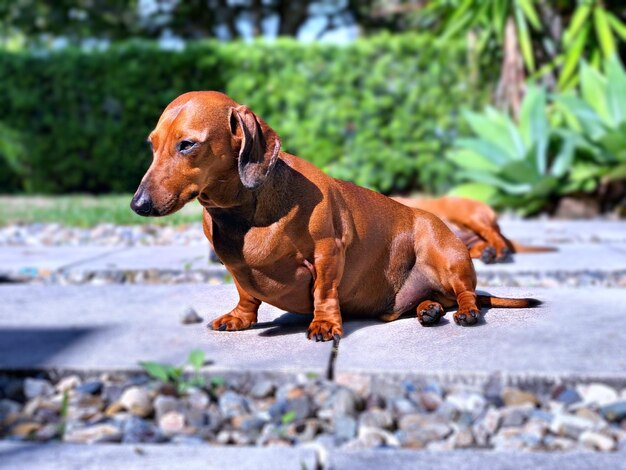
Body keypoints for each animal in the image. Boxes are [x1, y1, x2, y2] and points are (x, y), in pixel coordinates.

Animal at [130, 92, 536, 342]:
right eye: (152, 144)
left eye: (187, 145)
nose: (138, 205)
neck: (243, 216)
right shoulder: (236, 267)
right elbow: (247, 293)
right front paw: (240, 318)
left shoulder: (328, 252)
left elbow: (324, 291)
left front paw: (324, 324)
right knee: (435, 300)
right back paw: (429, 309)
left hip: (447, 256)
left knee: (466, 293)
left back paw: (465, 310)